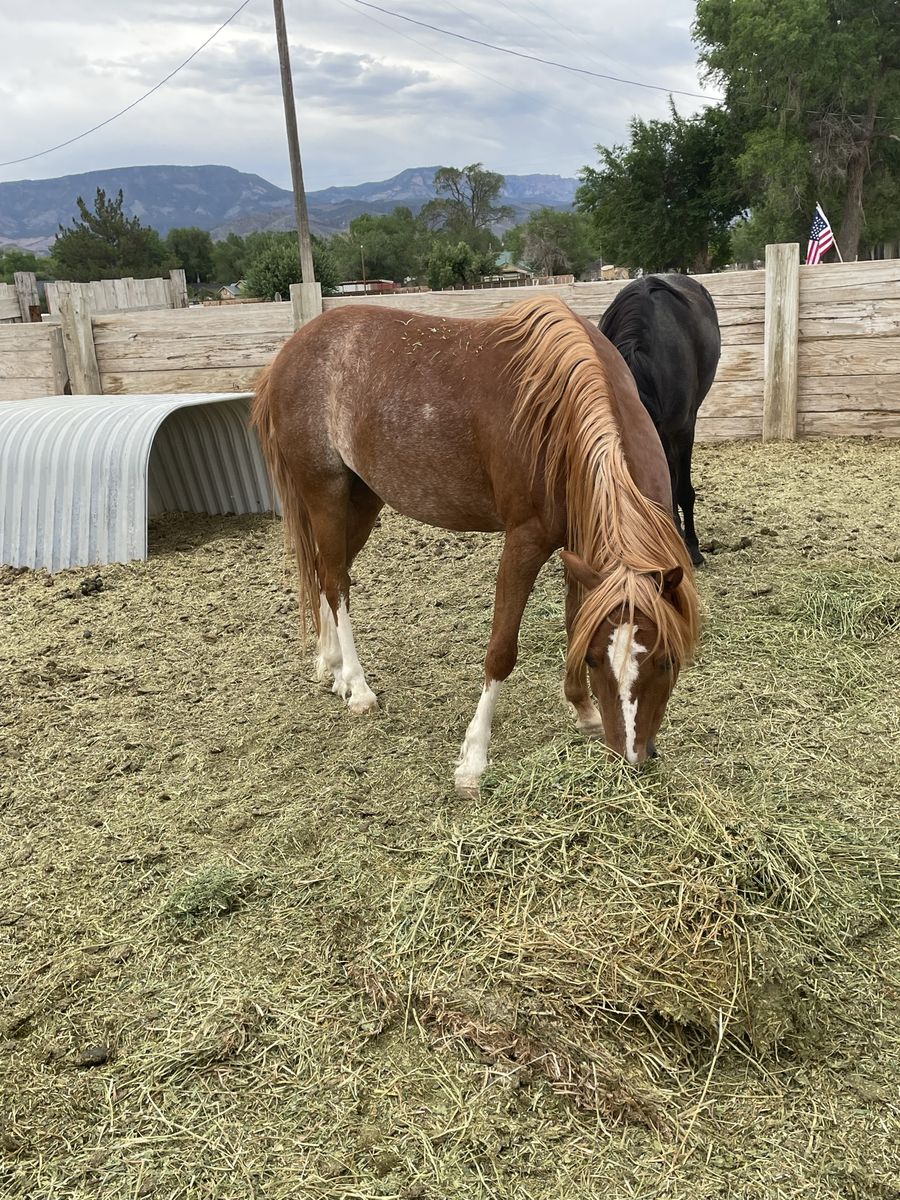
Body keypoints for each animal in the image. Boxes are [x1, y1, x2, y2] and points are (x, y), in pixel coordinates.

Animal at [252, 296, 699, 795]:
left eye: (667, 661)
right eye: (598, 662)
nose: (631, 758)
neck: (559, 419)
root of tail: (286, 356)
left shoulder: (580, 549)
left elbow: (573, 622)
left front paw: (582, 711)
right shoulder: (525, 540)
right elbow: (501, 649)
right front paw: (473, 759)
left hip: (362, 497)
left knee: (329, 573)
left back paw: (331, 667)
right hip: (325, 491)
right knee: (333, 583)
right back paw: (357, 685)